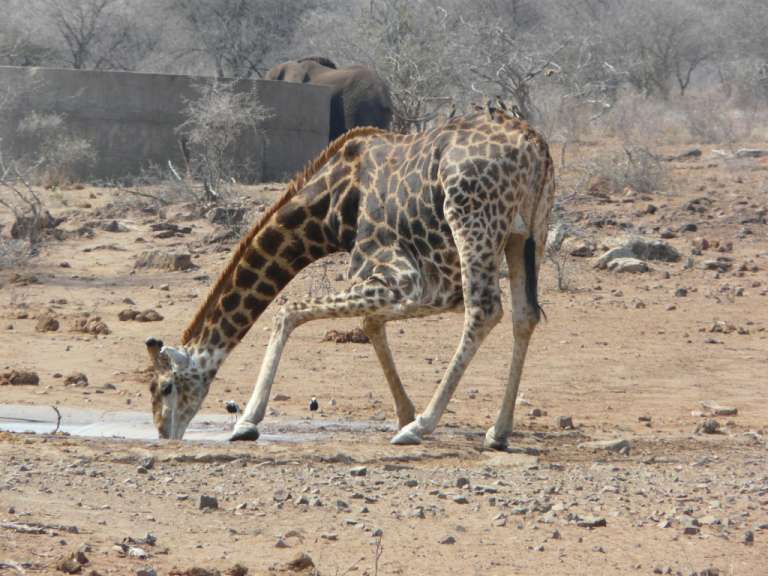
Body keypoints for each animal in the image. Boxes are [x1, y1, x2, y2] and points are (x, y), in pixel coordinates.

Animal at [144, 107, 555, 449]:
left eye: (165, 387)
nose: (165, 433)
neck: (331, 210)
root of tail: (536, 146)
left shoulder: (403, 277)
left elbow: (288, 310)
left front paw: (247, 421)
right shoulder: (427, 289)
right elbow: (369, 324)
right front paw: (403, 411)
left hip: (471, 219)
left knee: (486, 309)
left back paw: (420, 427)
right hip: (526, 233)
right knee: (525, 315)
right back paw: (497, 432)